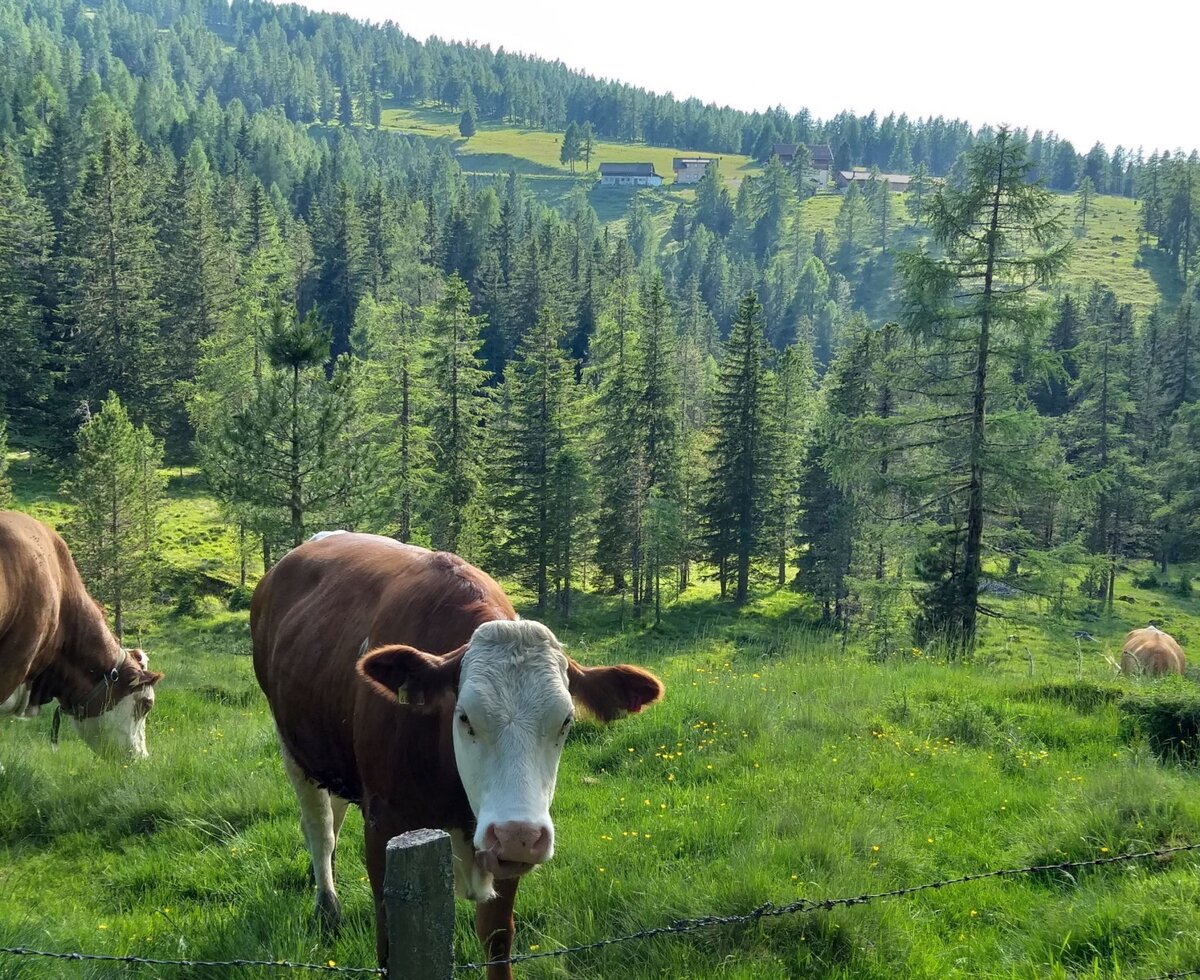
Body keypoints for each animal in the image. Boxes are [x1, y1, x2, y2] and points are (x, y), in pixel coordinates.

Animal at [251, 532, 664, 979]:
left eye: (566, 721)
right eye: (464, 716)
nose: (519, 835)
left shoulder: (503, 845)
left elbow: (497, 937)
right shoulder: (384, 825)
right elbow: (388, 944)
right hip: (292, 745)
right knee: (320, 828)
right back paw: (327, 906)